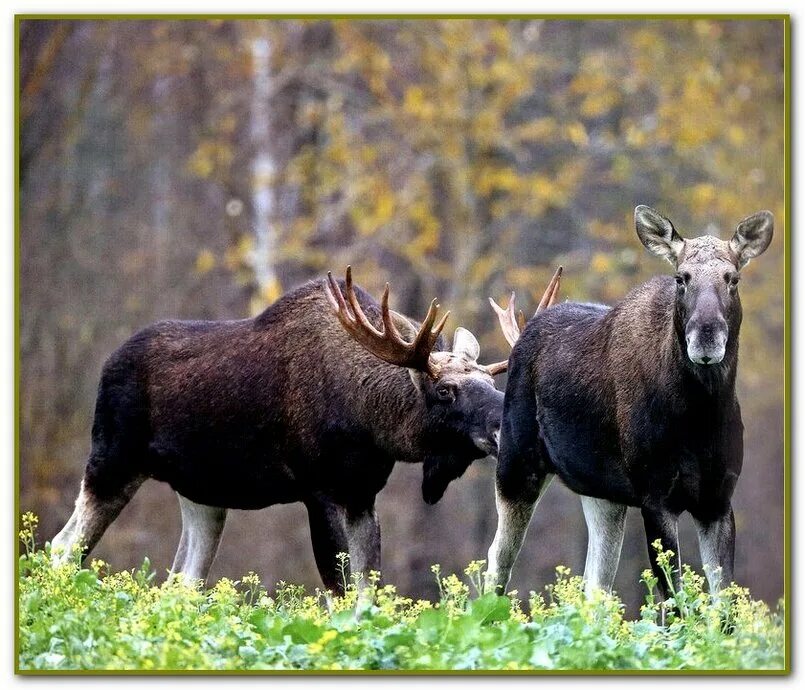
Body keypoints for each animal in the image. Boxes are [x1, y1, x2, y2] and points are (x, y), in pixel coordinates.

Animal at [51, 266, 560, 588]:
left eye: (487, 382)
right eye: (445, 391)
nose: (506, 429)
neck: (375, 424)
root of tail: (107, 364)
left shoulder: (361, 496)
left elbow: (369, 591)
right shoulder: (320, 491)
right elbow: (339, 592)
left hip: (202, 495)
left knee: (181, 580)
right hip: (112, 460)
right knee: (64, 545)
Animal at [484, 206, 772, 600]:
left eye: (734, 278)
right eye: (681, 277)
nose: (706, 336)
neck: (700, 418)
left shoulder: (718, 498)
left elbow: (723, 602)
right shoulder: (655, 496)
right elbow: (675, 601)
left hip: (602, 494)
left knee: (594, 586)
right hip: (515, 466)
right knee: (497, 562)